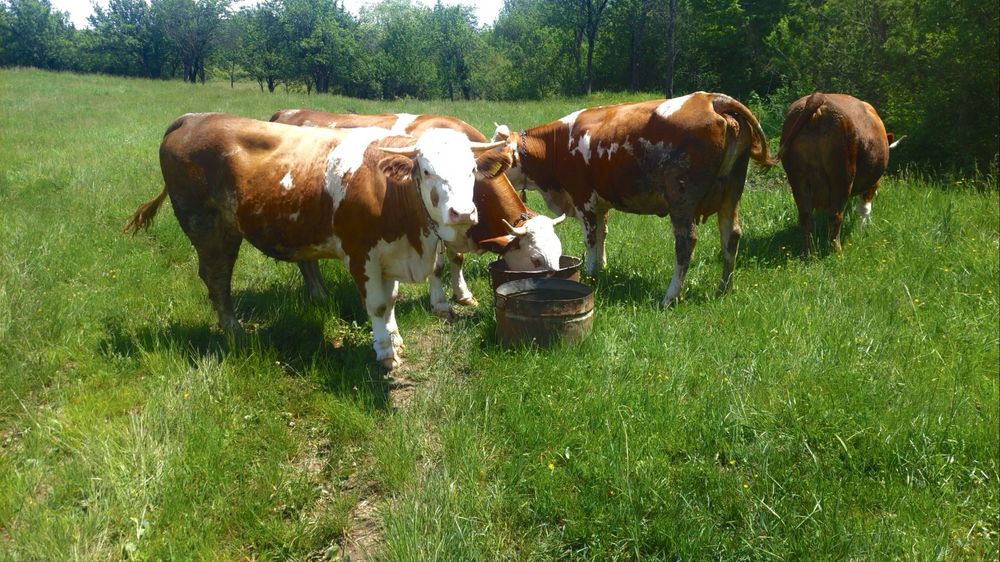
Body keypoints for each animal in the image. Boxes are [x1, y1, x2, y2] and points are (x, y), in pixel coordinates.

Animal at [124, 112, 508, 369]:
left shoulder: (389, 255)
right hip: (209, 228)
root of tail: (192, 118)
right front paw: (385, 352)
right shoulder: (360, 254)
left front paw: (395, 338)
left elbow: (392, 301)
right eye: (427, 171)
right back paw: (235, 332)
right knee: (217, 279)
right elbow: (378, 305)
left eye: (472, 170)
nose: (462, 212)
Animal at [269, 109, 564, 312]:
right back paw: (319, 295)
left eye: (559, 255)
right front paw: (446, 299)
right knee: (305, 260)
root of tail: (285, 113)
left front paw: (463, 295)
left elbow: (457, 259)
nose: (551, 284)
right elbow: (441, 264)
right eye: (535, 260)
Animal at [493, 92, 774, 306]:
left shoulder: (584, 199)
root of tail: (712, 99)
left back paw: (670, 297)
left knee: (686, 243)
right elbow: (603, 234)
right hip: (732, 193)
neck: (556, 145)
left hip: (682, 198)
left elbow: (591, 239)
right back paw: (723, 289)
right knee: (731, 235)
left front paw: (591, 271)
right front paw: (602, 269)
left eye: (498, 158)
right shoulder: (601, 202)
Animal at [776, 92, 899, 253]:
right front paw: (862, 230)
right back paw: (836, 251)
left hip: (797, 178)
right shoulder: (873, 183)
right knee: (835, 216)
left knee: (805, 216)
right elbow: (864, 209)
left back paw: (809, 251)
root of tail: (819, 97)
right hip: (842, 177)